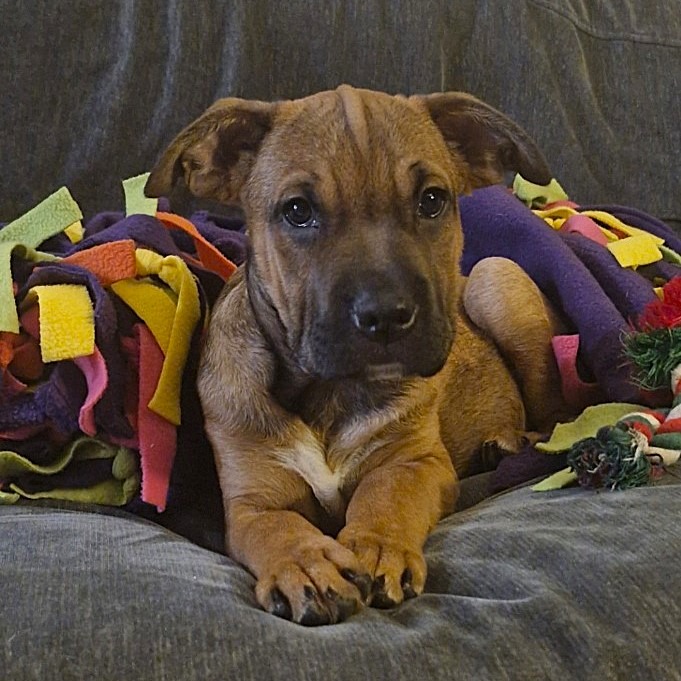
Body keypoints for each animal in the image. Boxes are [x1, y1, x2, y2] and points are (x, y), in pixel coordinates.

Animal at [145, 86, 569, 625]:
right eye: (298, 210)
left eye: (432, 200)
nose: (386, 315)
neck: (329, 392)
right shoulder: (250, 502)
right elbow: (277, 528)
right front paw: (306, 566)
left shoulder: (416, 461)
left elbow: (385, 496)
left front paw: (378, 546)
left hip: (496, 281)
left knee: (556, 412)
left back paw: (515, 443)